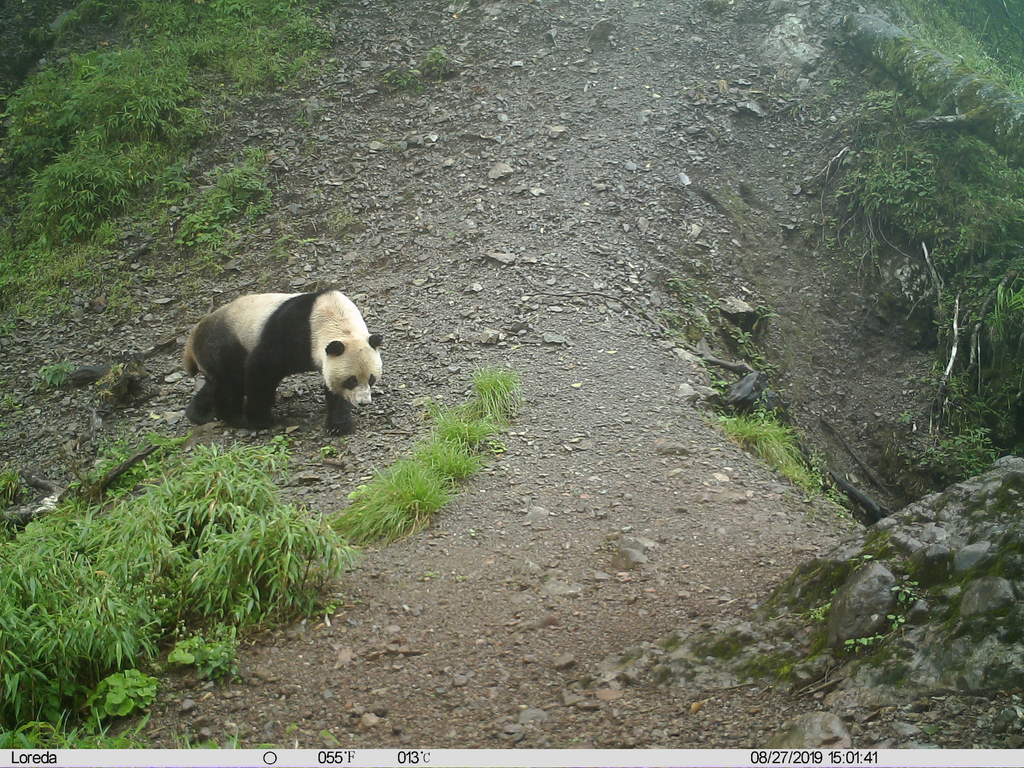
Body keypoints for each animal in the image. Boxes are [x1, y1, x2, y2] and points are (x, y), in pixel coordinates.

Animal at [182, 290, 382, 436]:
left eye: (371, 379)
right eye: (351, 380)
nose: (364, 402)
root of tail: (191, 341)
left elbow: (332, 385)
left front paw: (338, 424)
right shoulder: (291, 331)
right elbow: (261, 368)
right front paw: (261, 420)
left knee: (215, 382)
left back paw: (199, 413)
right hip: (223, 341)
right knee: (230, 379)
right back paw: (236, 417)